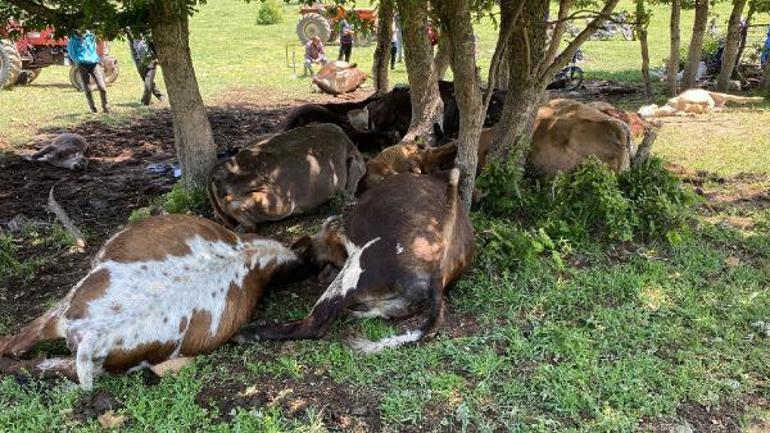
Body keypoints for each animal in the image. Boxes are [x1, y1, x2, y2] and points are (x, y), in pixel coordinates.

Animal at [232, 168, 474, 352]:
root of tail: (437, 273)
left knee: (315, 323)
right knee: (386, 312)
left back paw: (245, 333)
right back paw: (354, 312)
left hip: (354, 270)